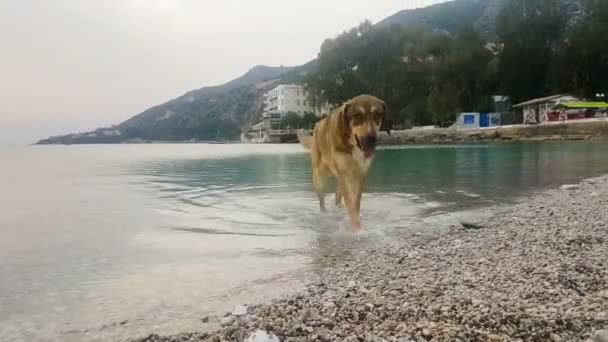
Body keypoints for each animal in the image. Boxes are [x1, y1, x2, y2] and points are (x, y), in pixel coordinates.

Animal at [300, 94, 390, 232]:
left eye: (377, 115)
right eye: (357, 116)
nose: (371, 139)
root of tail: (317, 126)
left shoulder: (360, 174)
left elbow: (355, 202)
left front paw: (357, 223)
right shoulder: (344, 173)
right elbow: (351, 204)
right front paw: (355, 229)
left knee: (338, 195)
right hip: (319, 177)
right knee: (322, 200)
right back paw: (325, 214)